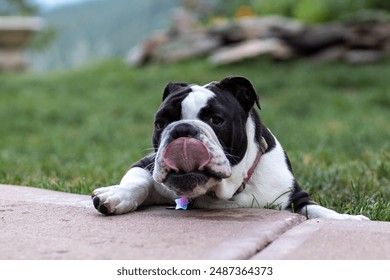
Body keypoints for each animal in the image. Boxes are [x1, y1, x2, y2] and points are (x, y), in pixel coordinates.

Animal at [91, 76, 368, 221]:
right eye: (160, 123)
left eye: (216, 119)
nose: (181, 130)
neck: (229, 192)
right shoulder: (147, 164)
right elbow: (138, 181)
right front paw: (116, 195)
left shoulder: (294, 197)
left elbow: (319, 210)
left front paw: (349, 220)